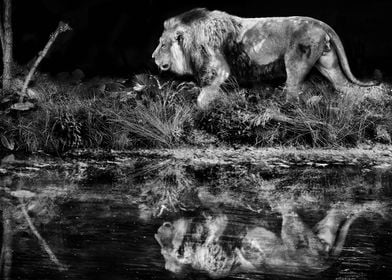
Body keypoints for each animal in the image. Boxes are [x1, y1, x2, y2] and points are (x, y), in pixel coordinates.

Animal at [152, 7, 376, 108]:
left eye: (162, 44)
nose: (153, 57)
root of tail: (320, 23)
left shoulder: (219, 70)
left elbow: (203, 96)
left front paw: (199, 112)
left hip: (296, 65)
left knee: (293, 94)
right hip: (328, 64)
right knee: (346, 88)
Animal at [155, 201, 386, 278]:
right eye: (173, 249)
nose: (162, 227)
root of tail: (327, 258)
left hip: (318, 234)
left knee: (332, 220)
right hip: (304, 239)